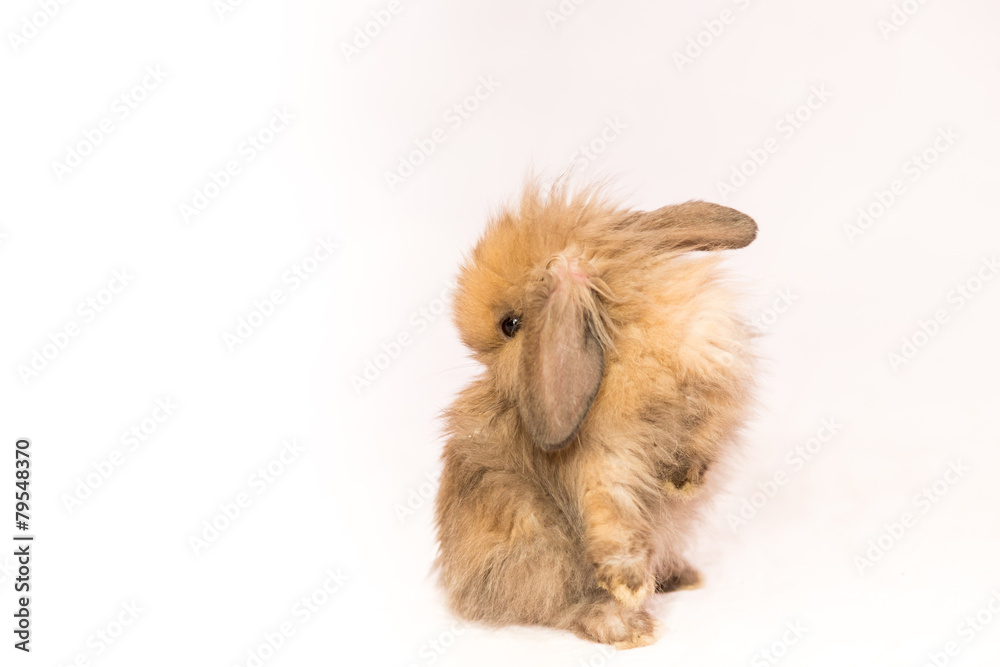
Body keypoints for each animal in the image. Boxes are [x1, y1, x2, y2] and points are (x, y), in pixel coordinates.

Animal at [434, 180, 757, 648]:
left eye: (510, 324)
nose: (502, 389)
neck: (625, 336)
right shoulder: (603, 466)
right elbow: (614, 524)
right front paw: (630, 587)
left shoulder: (711, 387)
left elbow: (701, 441)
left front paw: (682, 483)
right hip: (543, 556)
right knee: (559, 606)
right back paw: (627, 624)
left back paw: (679, 576)